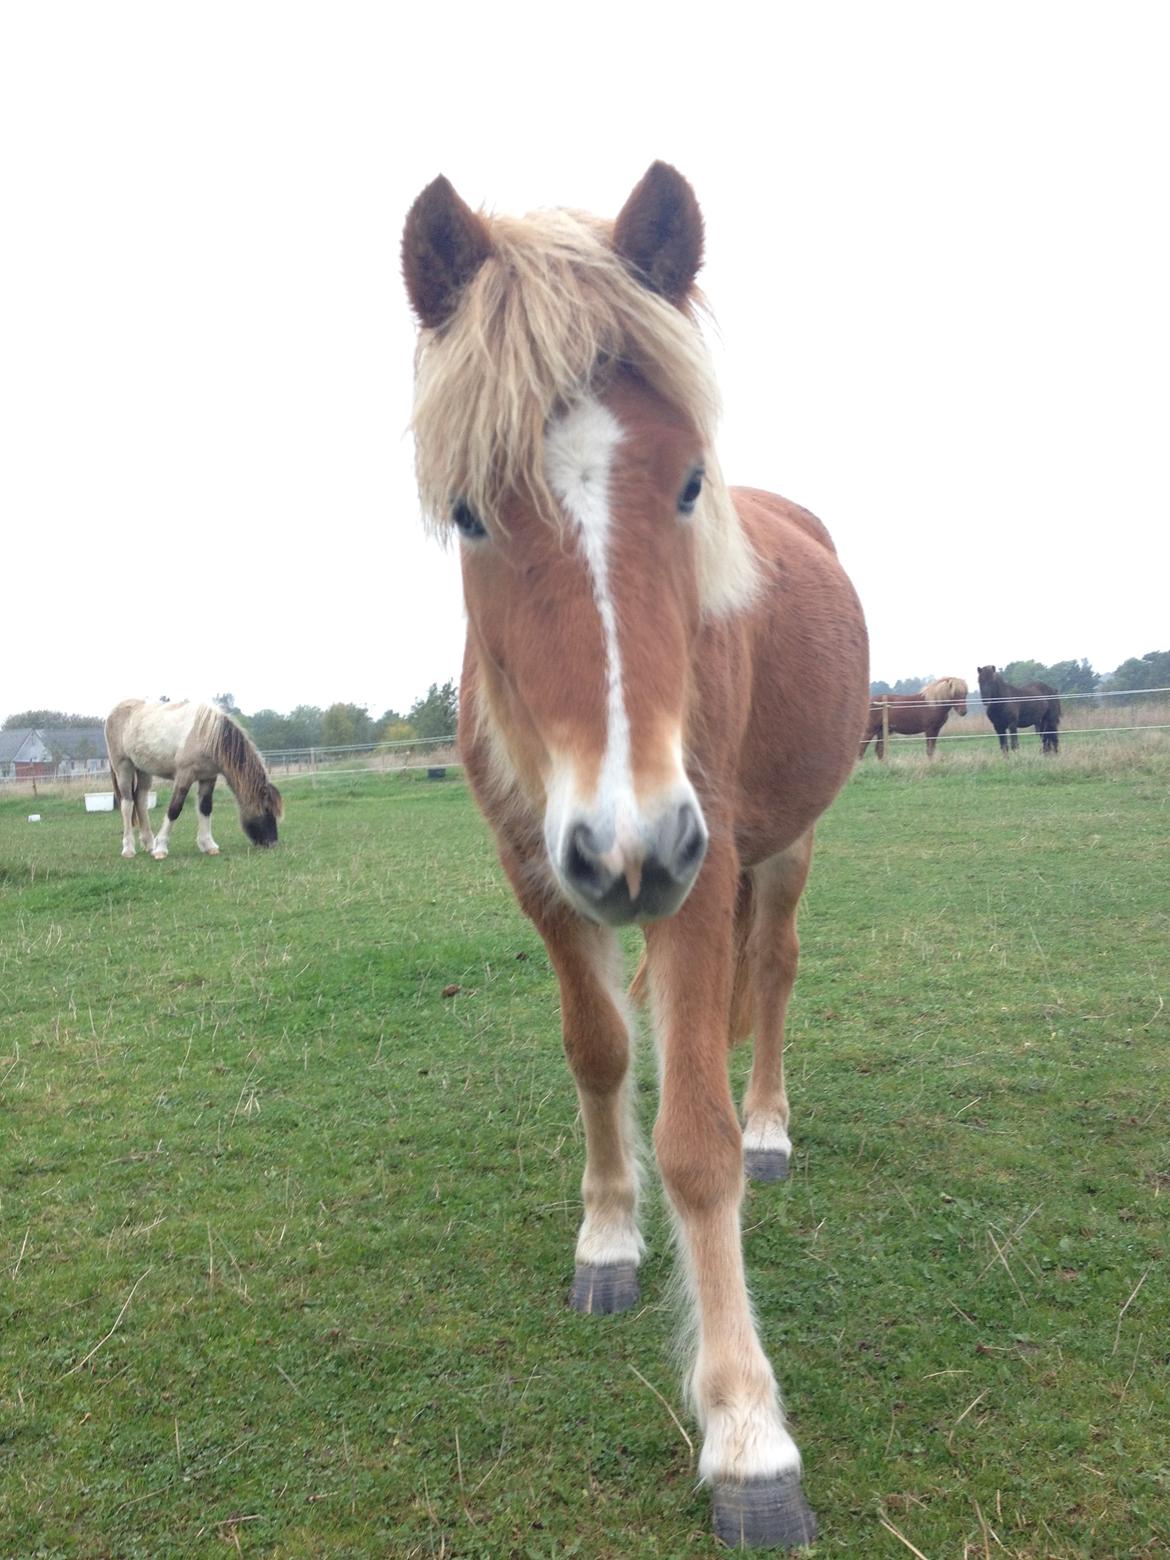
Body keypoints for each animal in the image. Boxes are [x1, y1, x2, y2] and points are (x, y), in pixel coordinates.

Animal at [107, 702, 287, 861]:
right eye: (266, 810)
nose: (272, 843)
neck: (207, 735)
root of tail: (115, 710)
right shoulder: (184, 776)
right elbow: (174, 809)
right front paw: (161, 849)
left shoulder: (208, 778)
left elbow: (205, 808)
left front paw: (209, 845)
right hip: (124, 767)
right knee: (127, 804)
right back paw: (129, 849)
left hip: (143, 770)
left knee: (141, 801)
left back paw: (149, 844)